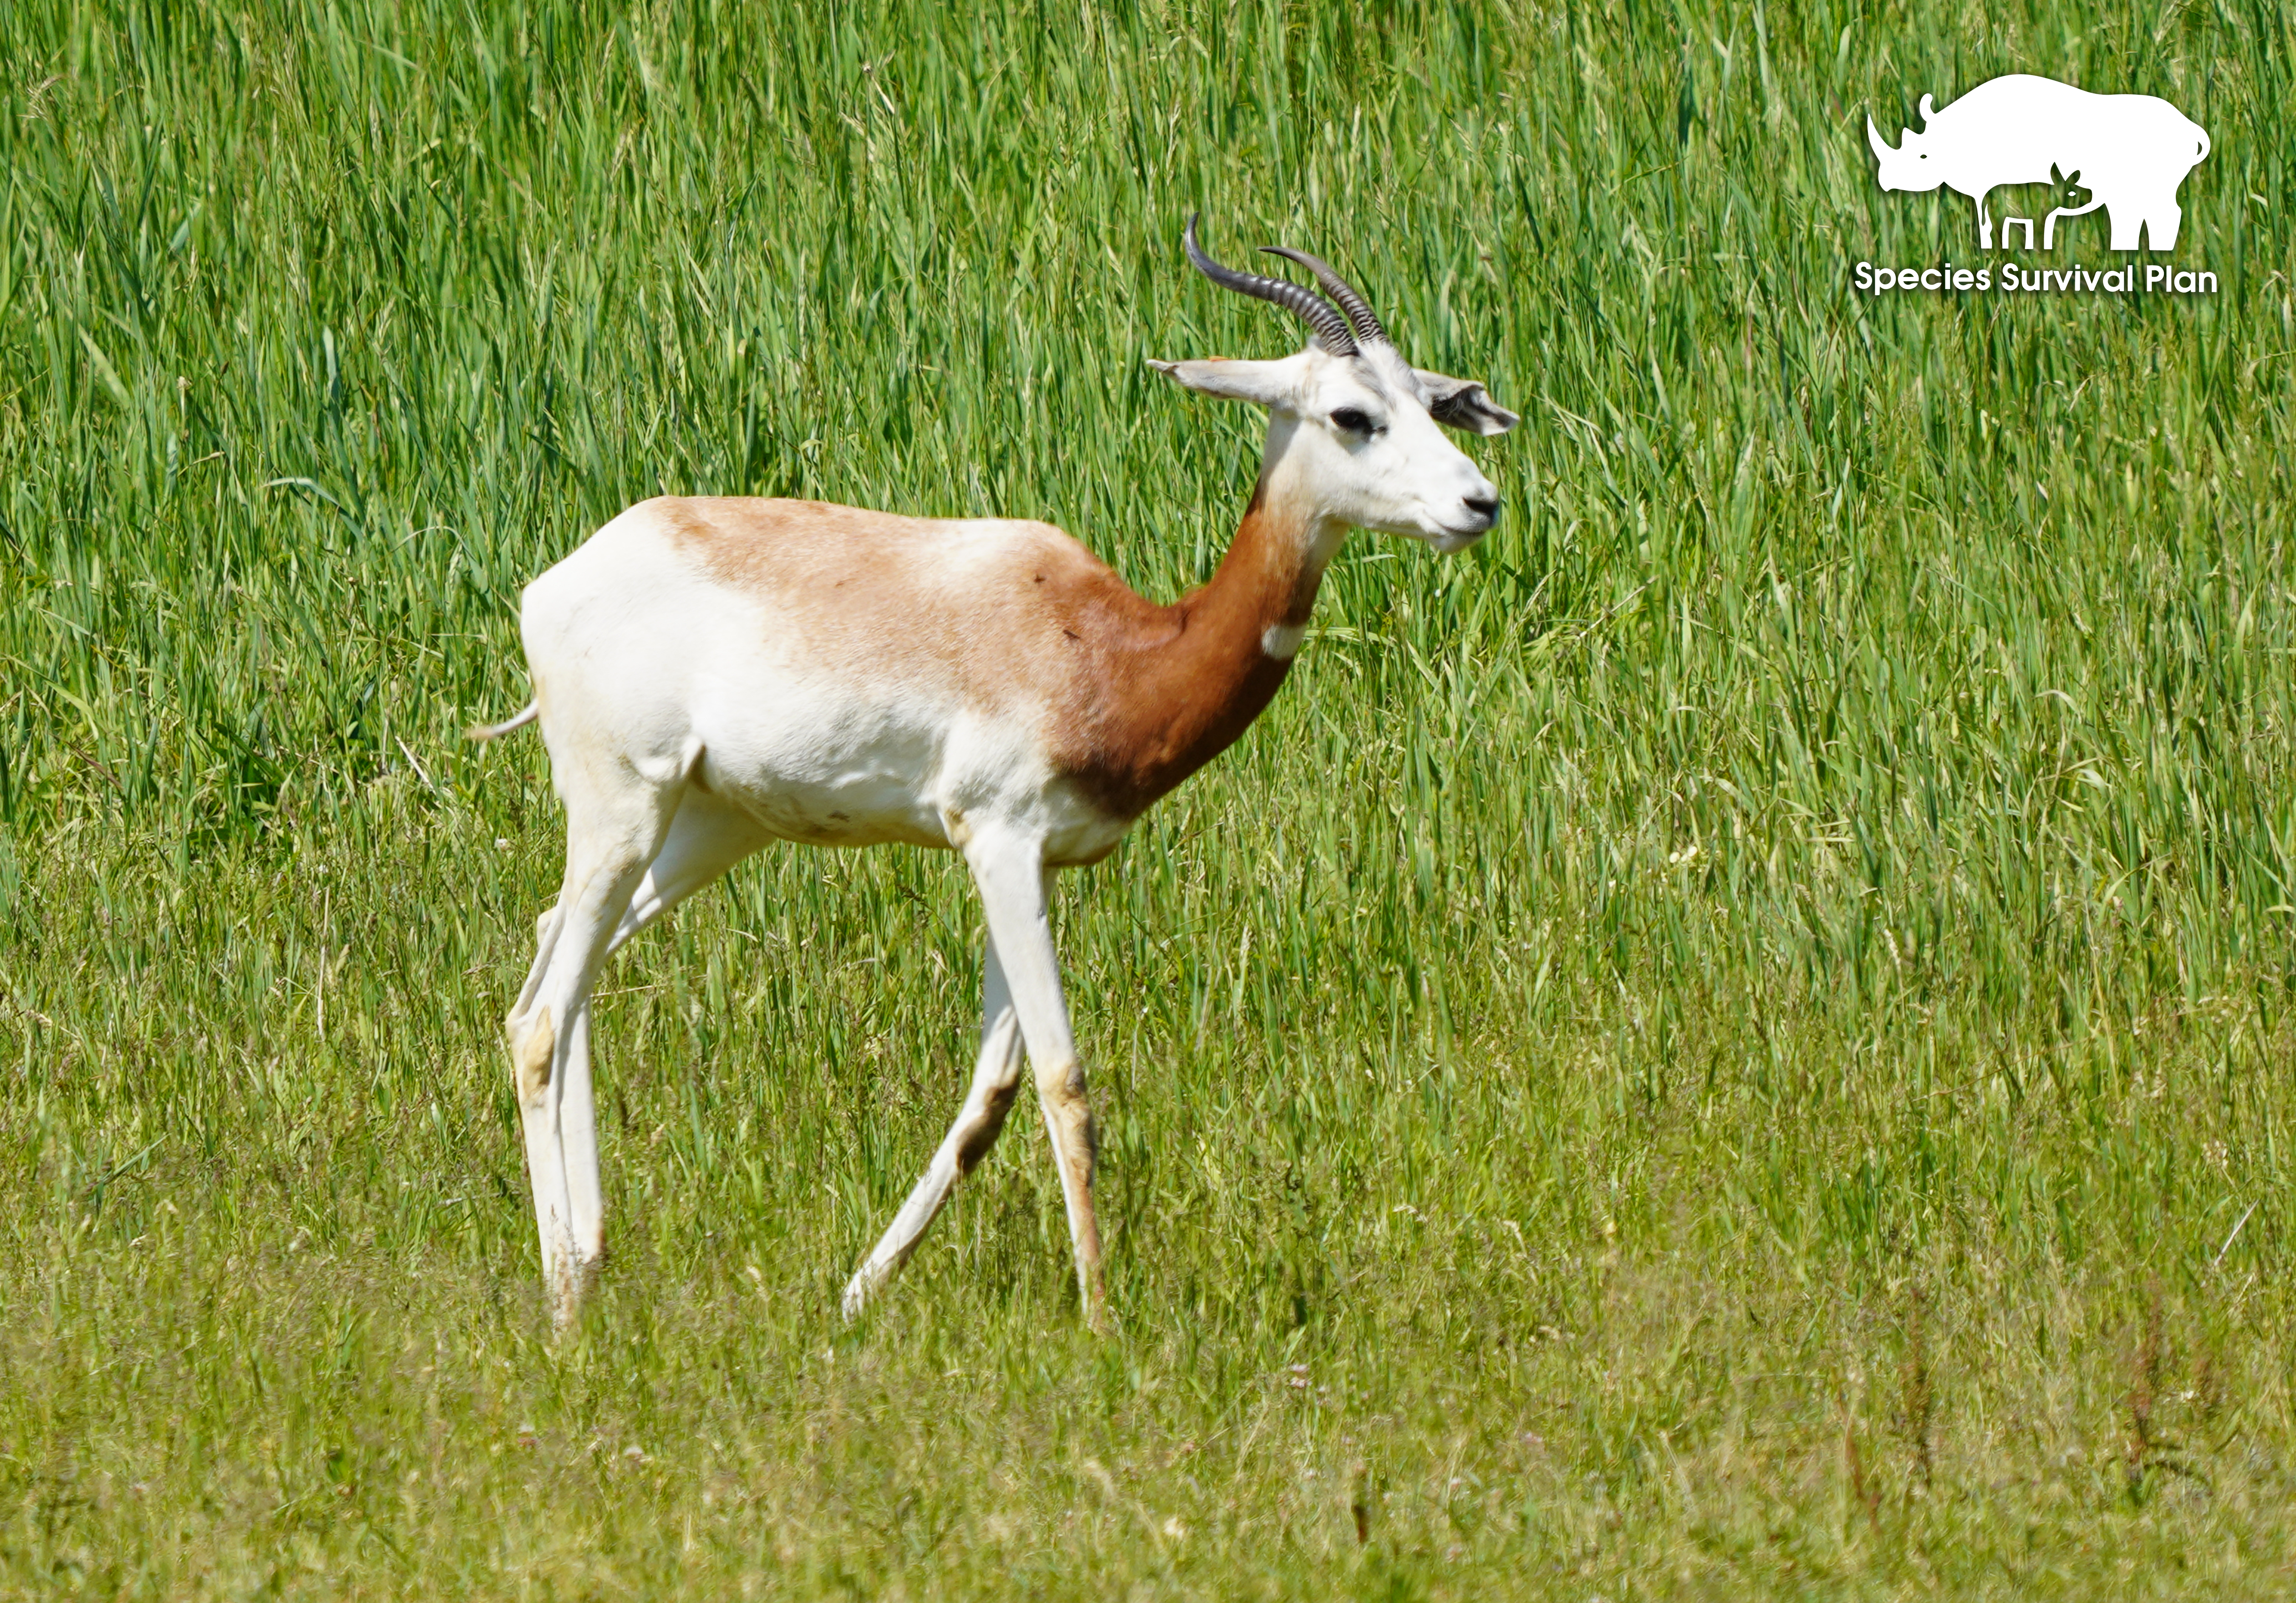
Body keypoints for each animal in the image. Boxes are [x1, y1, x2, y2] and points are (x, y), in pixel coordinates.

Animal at [476, 216, 1517, 1332]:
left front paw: (857, 1292)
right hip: (623, 809)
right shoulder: (1001, 842)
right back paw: (565, 1304)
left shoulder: (1038, 862)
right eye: (1351, 414)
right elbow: (1063, 1079)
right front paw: (1102, 1319)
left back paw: (587, 1259)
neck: (1108, 651)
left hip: (711, 824)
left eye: (1429, 400)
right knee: (539, 1019)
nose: (1480, 502)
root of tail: (558, 581)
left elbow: (990, 1094)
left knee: (560, 960)